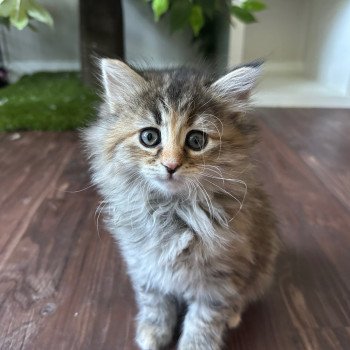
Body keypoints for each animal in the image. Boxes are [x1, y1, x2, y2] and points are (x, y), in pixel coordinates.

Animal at [82, 60, 278, 350]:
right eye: (149, 137)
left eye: (196, 140)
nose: (171, 165)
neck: (173, 210)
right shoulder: (145, 262)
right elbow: (154, 301)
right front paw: (154, 331)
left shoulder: (221, 275)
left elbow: (204, 317)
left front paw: (195, 345)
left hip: (262, 267)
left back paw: (233, 315)